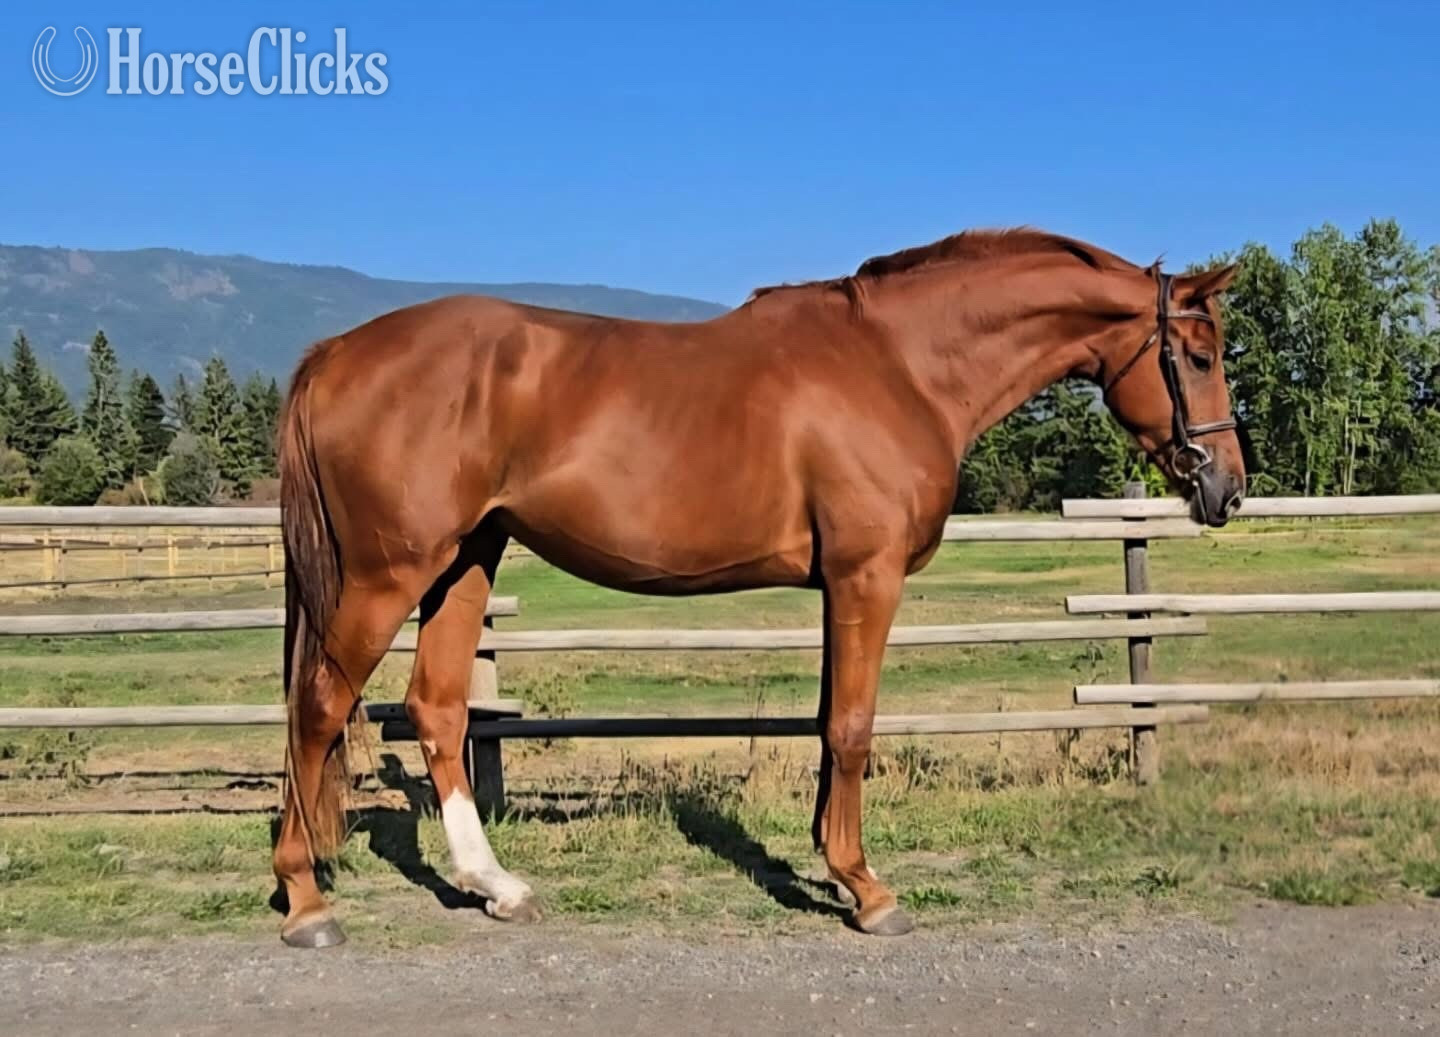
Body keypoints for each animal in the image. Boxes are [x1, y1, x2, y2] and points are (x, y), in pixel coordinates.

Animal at [273, 227, 1245, 947]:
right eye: (1198, 355)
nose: (1227, 487)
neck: (900, 364)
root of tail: (334, 352)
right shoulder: (865, 576)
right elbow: (852, 727)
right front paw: (868, 890)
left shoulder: (836, 586)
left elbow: (826, 723)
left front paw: (835, 868)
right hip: (388, 573)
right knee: (318, 705)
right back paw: (307, 901)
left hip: (467, 559)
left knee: (436, 709)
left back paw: (495, 886)